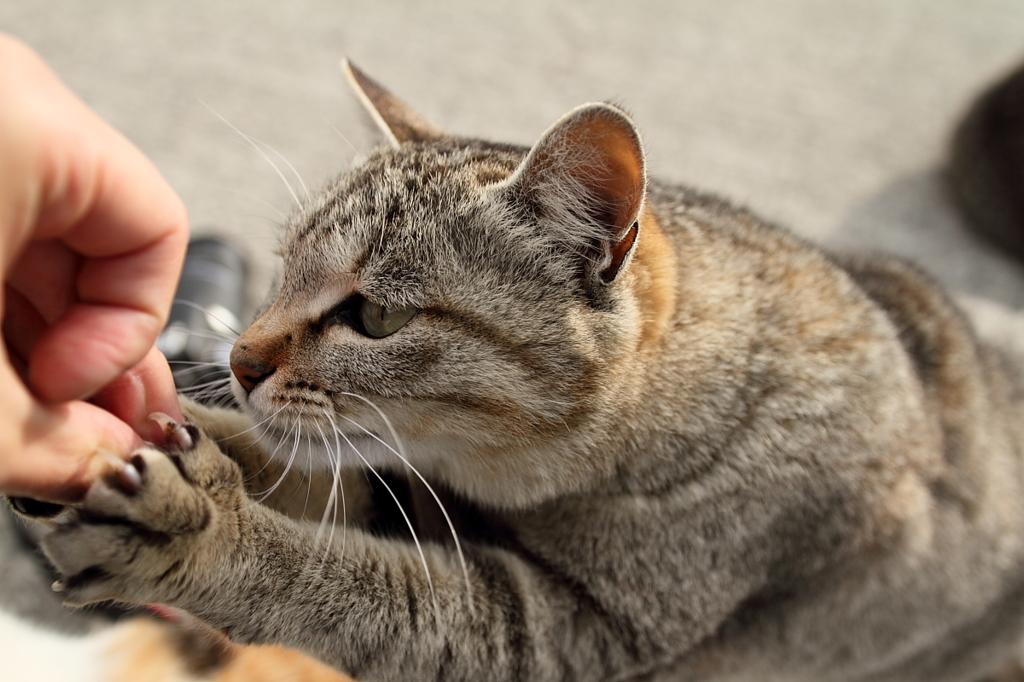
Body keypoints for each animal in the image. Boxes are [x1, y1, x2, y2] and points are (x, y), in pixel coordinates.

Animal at [12, 59, 1024, 679]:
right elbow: (300, 469)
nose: (236, 355)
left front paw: (202, 531)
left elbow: (348, 584)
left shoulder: (564, 635)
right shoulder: (407, 491)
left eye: (375, 317)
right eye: (283, 268)